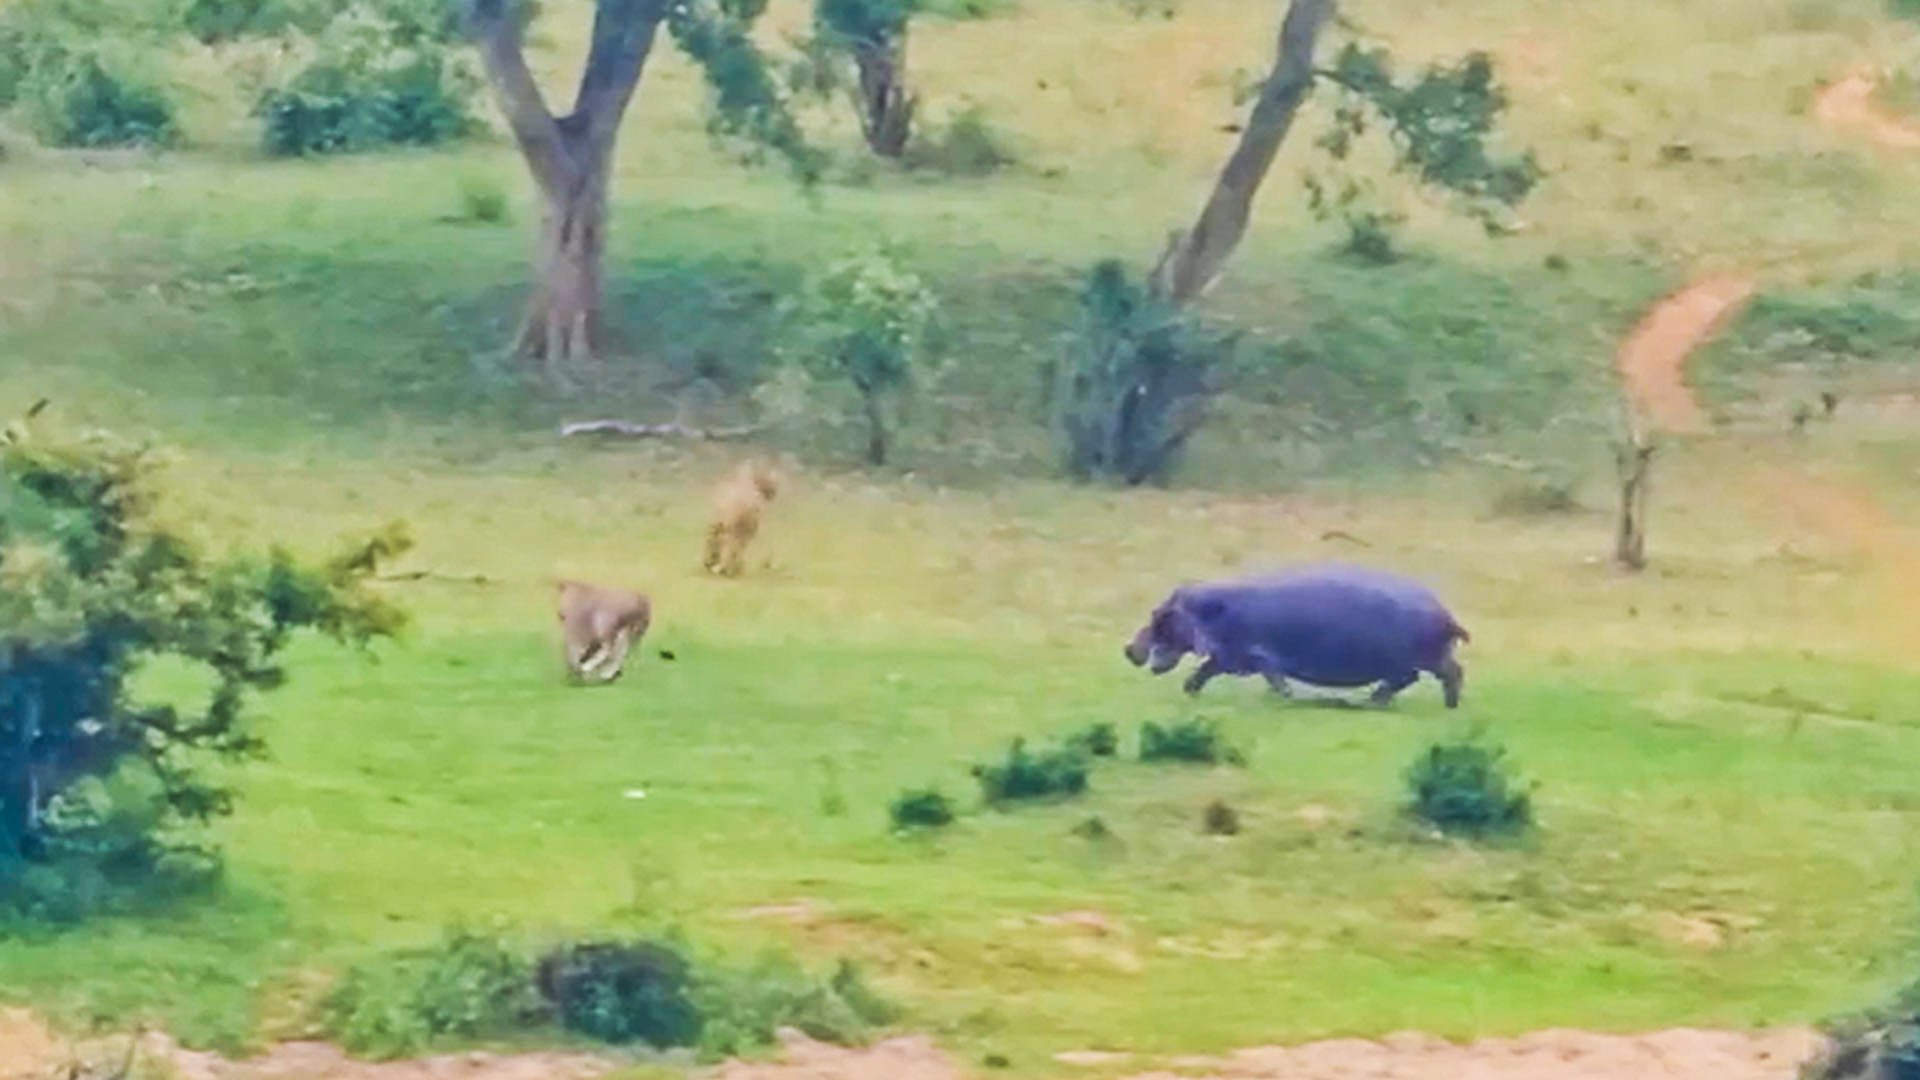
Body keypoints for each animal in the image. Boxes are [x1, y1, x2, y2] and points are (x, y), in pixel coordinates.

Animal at [1124, 564, 1470, 708]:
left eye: (1158, 615)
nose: (1128, 648)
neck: (1208, 610)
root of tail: (1447, 614)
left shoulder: (1256, 654)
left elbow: (1272, 676)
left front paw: (1286, 696)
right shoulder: (1230, 656)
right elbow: (1203, 671)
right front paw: (1190, 692)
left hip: (1419, 657)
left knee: (1435, 674)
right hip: (1424, 657)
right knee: (1435, 674)